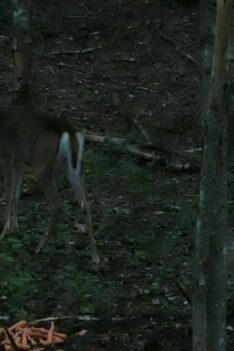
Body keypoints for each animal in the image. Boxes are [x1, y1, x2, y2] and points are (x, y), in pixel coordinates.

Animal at [0, 106, 99, 264]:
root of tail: (68, 130)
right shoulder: (19, 162)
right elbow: (16, 194)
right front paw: (14, 229)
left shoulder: (7, 155)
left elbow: (8, 195)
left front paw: (3, 232)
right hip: (75, 170)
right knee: (86, 205)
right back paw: (95, 256)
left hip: (42, 165)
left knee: (57, 203)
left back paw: (39, 247)